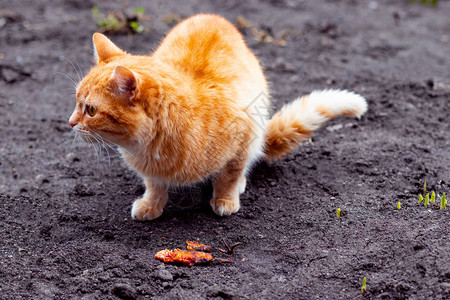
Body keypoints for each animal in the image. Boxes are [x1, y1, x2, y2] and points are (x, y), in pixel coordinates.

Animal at [68, 14, 368, 220]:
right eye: (76, 102)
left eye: (90, 110)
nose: (70, 123)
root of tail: (215, 16)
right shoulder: (152, 171)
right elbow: (154, 184)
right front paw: (152, 204)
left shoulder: (243, 138)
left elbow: (230, 175)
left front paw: (225, 198)